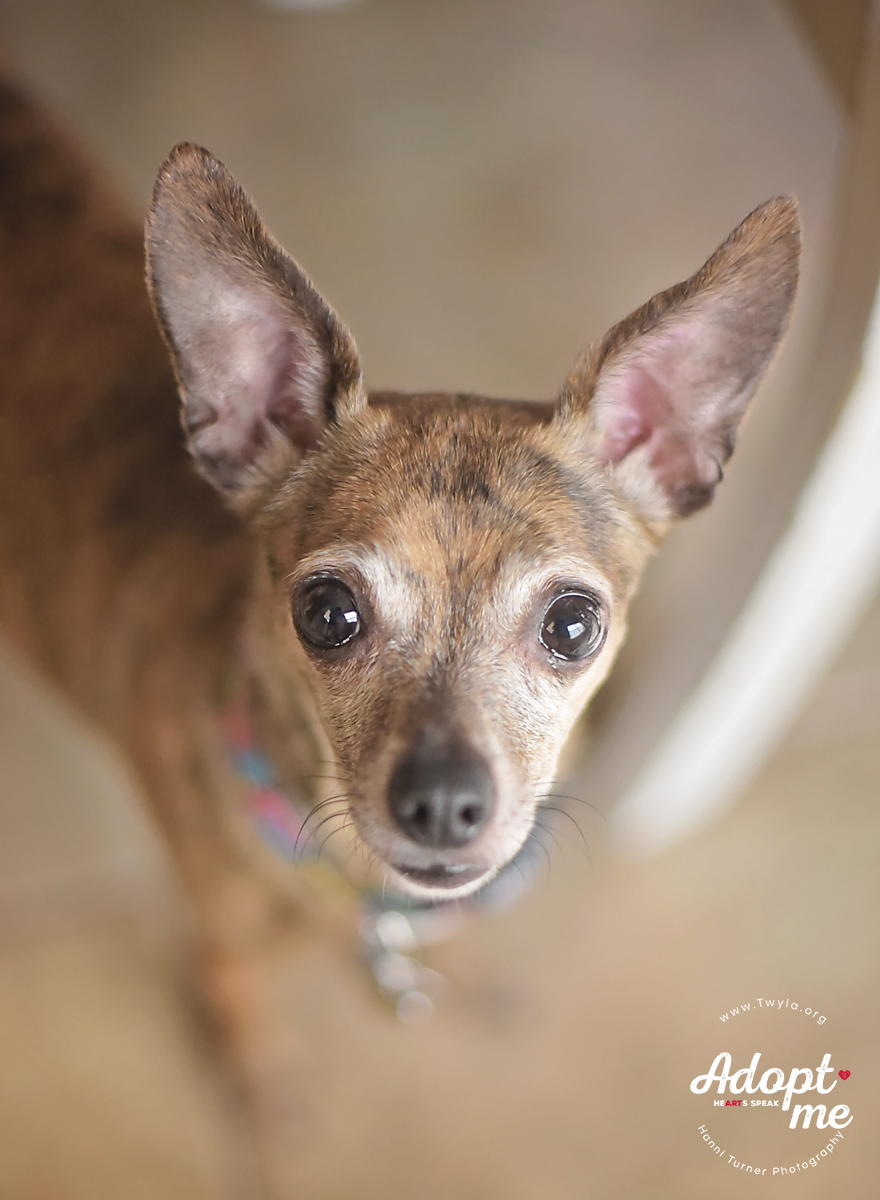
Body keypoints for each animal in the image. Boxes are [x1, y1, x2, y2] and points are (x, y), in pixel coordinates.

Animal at [0, 72, 797, 1161]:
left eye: (574, 625)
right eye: (327, 613)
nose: (445, 805)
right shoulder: (218, 935)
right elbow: (231, 987)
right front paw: (260, 1074)